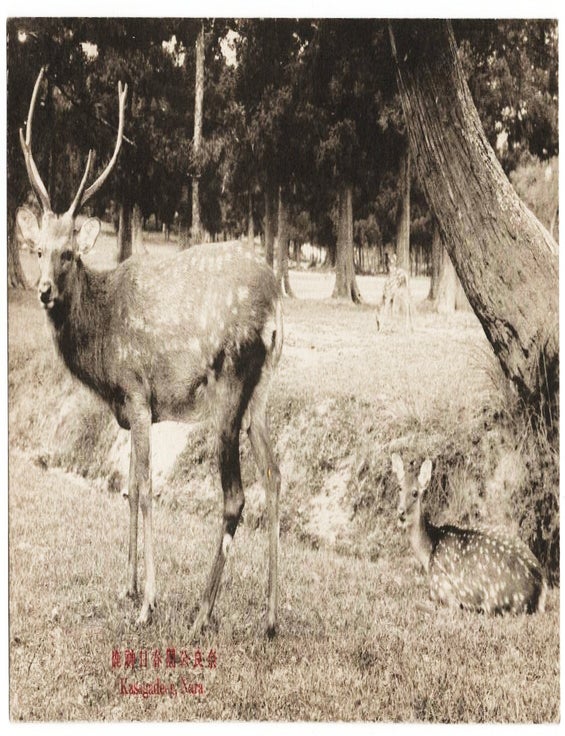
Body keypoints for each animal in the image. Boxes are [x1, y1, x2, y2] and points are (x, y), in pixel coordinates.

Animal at [16, 68, 283, 638]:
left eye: (69, 254)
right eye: (38, 250)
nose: (43, 290)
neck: (101, 354)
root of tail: (277, 306)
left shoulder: (139, 396)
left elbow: (145, 489)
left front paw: (147, 602)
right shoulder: (129, 409)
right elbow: (128, 486)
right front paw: (128, 586)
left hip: (230, 387)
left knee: (235, 496)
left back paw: (202, 612)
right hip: (263, 395)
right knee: (275, 475)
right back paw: (272, 616)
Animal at [391, 453, 547, 615]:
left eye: (415, 493)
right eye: (400, 488)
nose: (401, 512)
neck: (429, 551)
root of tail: (540, 587)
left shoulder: (440, 586)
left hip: (495, 601)